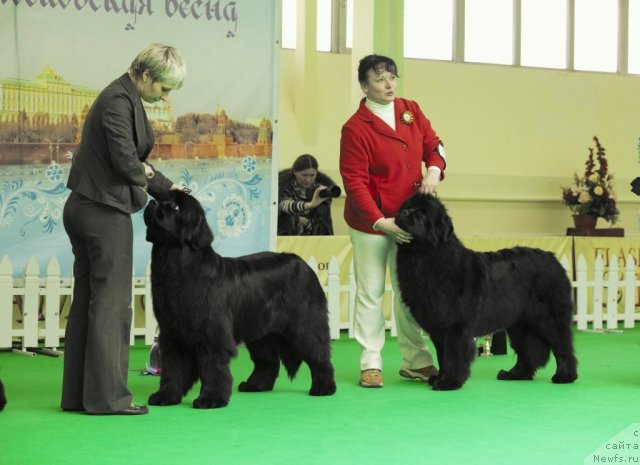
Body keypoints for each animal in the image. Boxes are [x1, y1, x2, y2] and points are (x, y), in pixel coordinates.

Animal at [143, 190, 338, 408]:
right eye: (162, 199)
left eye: (176, 207)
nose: (152, 202)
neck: (175, 264)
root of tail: (304, 265)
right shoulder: (172, 334)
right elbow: (173, 369)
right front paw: (165, 396)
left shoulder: (212, 333)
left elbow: (213, 367)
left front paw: (211, 399)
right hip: (261, 331)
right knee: (268, 361)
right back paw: (255, 385)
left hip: (305, 324)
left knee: (319, 355)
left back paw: (324, 388)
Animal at [398, 194, 576, 390]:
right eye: (407, 207)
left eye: (422, 214)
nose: (403, 213)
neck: (425, 256)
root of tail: (553, 259)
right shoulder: (437, 325)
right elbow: (442, 355)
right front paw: (439, 378)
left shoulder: (456, 325)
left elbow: (452, 354)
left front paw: (449, 382)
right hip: (520, 324)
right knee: (527, 351)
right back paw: (514, 374)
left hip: (549, 318)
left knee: (562, 347)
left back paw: (565, 376)